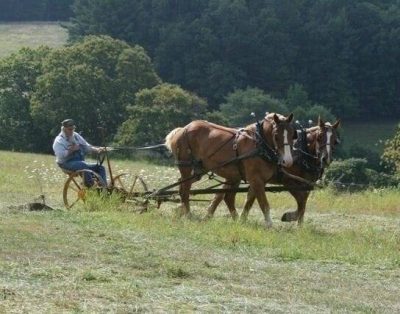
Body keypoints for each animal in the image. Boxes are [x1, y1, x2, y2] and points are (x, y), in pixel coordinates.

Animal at [166, 113, 296, 228]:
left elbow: (249, 201)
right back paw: (188, 214)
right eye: (276, 135)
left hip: (201, 171)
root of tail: (183, 129)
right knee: (185, 190)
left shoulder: (259, 181)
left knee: (183, 185)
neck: (259, 144)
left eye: (292, 135)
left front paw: (242, 221)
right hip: (186, 166)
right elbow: (264, 204)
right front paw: (269, 225)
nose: (287, 161)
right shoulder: (256, 179)